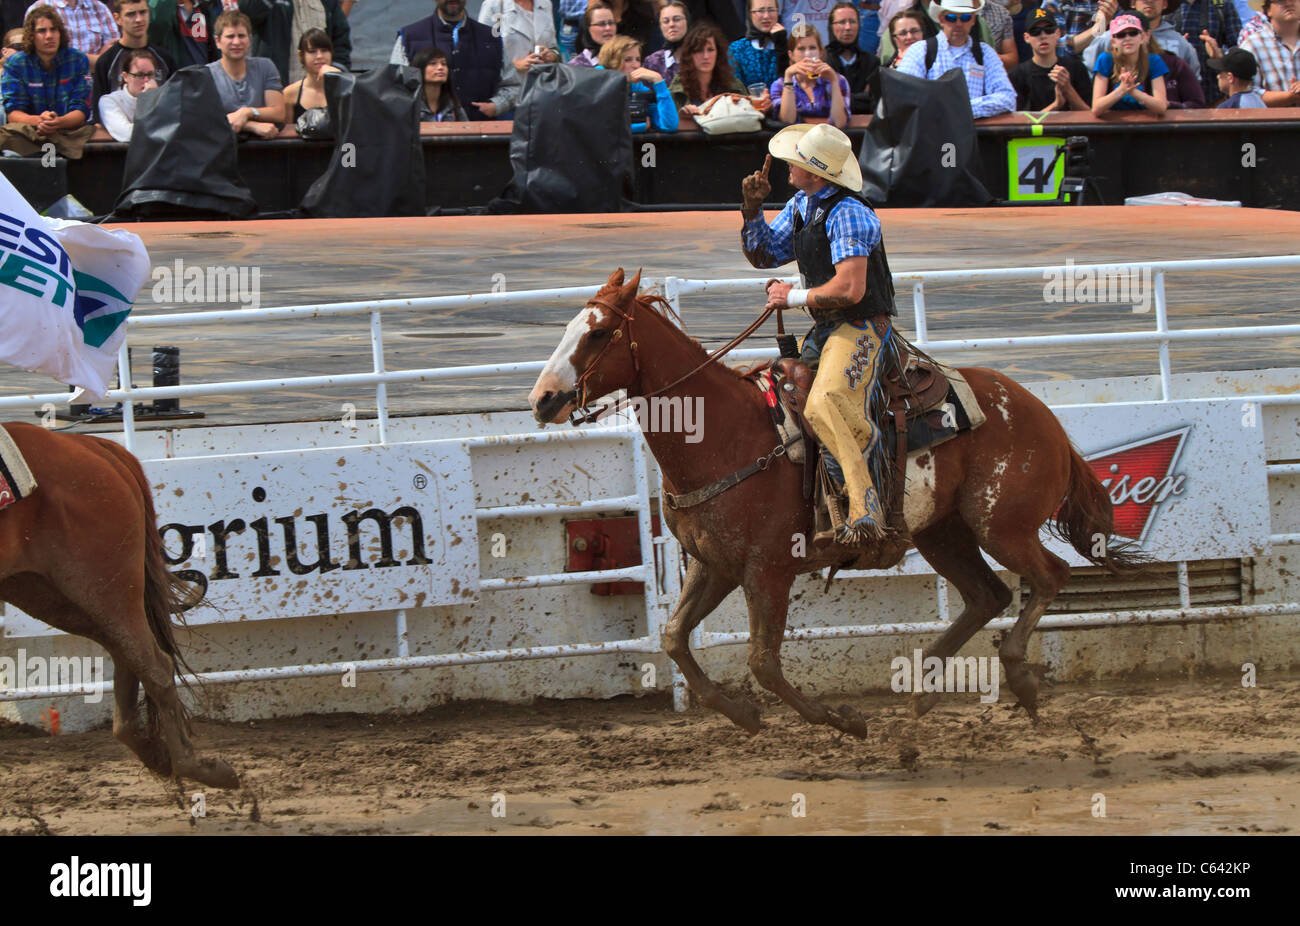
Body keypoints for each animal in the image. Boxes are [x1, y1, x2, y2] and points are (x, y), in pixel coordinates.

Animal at [0, 418, 241, 790]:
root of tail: (92, 447)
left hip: (98, 586)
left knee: (154, 663)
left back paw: (198, 766)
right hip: (49, 593)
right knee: (128, 654)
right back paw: (157, 753)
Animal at [530, 267, 1149, 738]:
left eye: (598, 333)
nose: (542, 400)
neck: (726, 436)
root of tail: (1041, 413)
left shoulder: (768, 569)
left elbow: (762, 661)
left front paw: (844, 720)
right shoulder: (715, 565)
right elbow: (674, 637)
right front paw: (740, 713)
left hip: (1002, 526)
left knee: (1049, 577)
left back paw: (1016, 677)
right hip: (942, 532)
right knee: (988, 594)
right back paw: (923, 689)